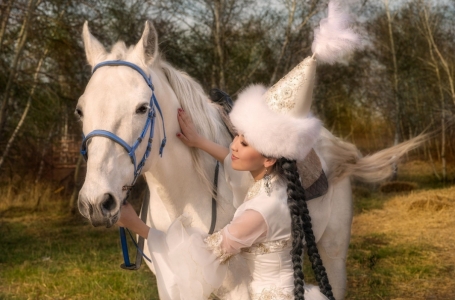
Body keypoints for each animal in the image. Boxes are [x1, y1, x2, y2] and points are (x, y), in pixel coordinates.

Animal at [77, 21, 424, 300]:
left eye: (142, 108)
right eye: (80, 110)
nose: (96, 202)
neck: (184, 207)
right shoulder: (177, 285)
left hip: (334, 252)